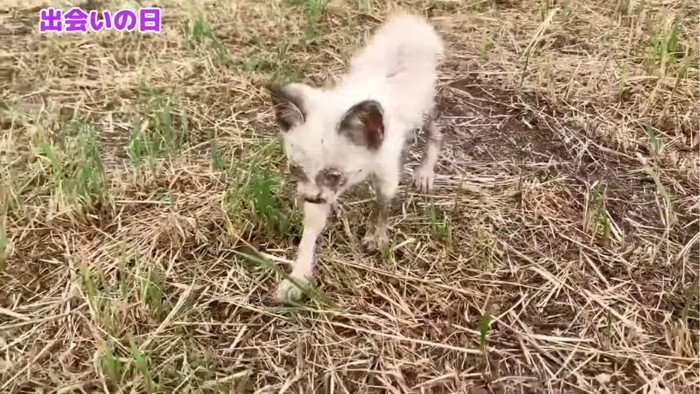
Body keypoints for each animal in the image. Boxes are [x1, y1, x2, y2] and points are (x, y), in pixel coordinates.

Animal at [266, 11, 446, 302]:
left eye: (335, 175)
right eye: (295, 170)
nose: (309, 198)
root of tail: (410, 26)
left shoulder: (385, 170)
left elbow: (382, 203)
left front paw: (377, 237)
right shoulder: (315, 191)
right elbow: (311, 229)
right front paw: (297, 277)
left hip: (424, 110)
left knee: (436, 132)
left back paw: (424, 173)